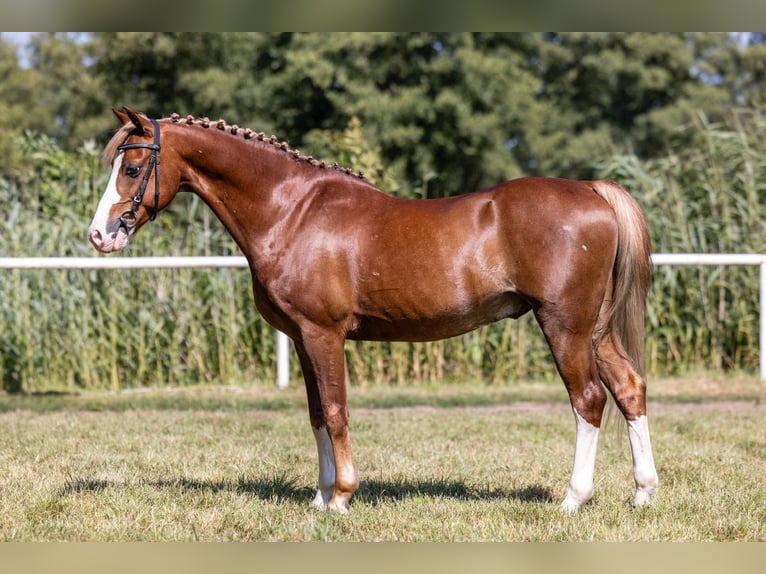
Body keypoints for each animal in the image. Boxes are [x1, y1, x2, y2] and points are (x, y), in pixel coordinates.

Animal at [87, 108, 656, 512]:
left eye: (132, 167)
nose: (100, 235)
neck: (291, 212)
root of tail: (592, 191)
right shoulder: (301, 338)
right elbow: (317, 413)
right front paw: (319, 497)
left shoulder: (324, 334)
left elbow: (337, 411)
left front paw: (341, 497)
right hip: (595, 330)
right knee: (628, 389)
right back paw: (643, 493)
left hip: (564, 325)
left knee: (588, 400)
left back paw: (573, 500)